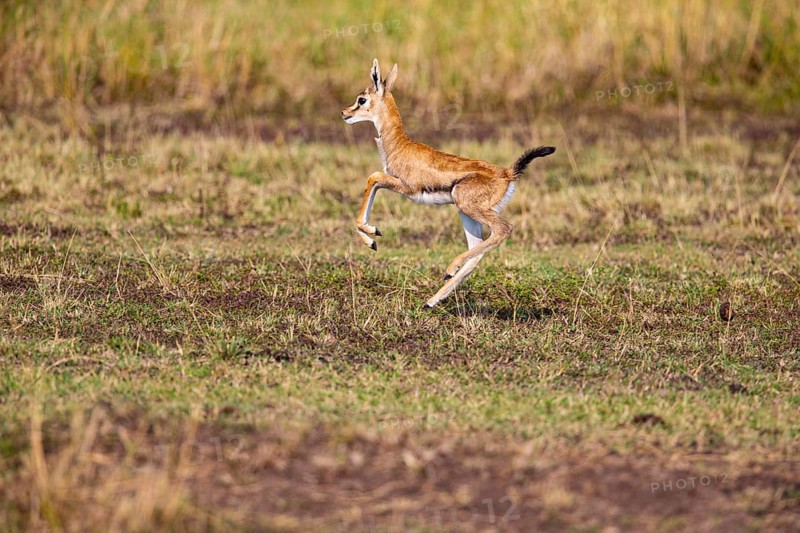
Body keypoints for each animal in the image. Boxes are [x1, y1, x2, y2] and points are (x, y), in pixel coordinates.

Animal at [342, 58, 555, 308]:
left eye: (362, 99)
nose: (345, 113)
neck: (399, 145)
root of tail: (507, 173)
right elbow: (373, 182)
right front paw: (373, 237)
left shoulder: (405, 187)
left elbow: (373, 177)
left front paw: (373, 237)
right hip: (466, 213)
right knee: (477, 250)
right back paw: (432, 300)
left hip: (467, 206)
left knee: (502, 230)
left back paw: (449, 270)